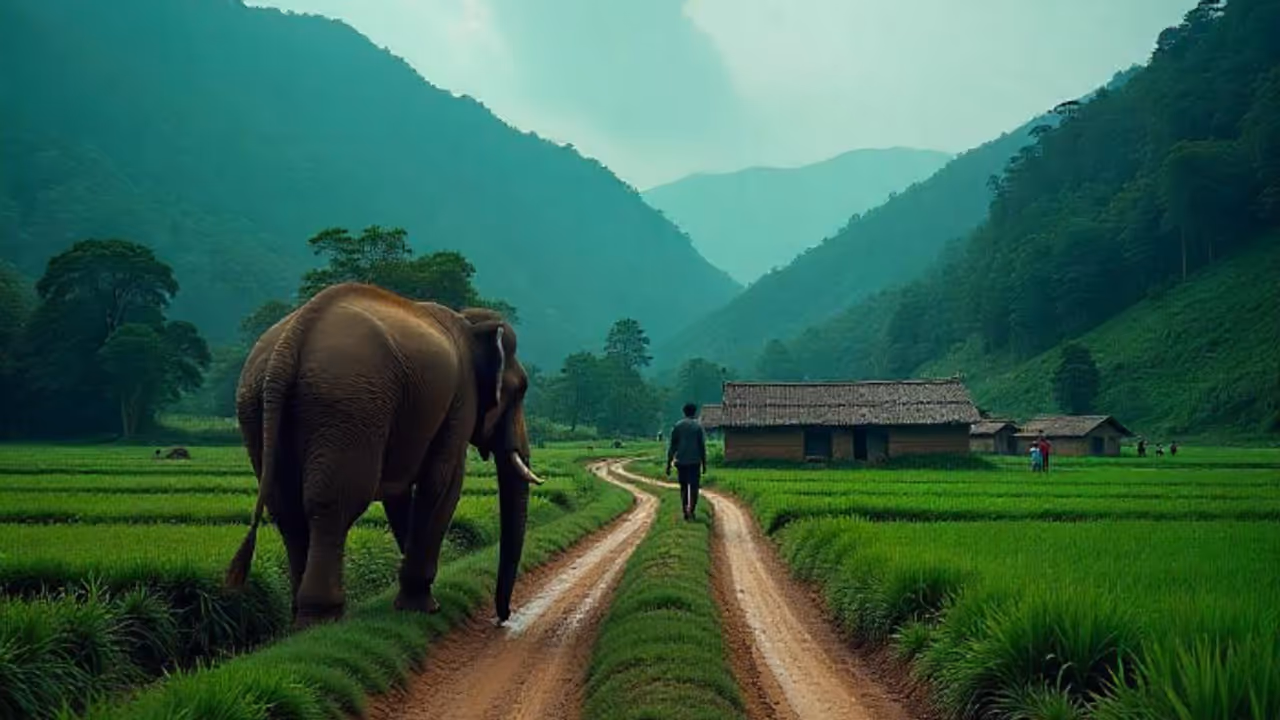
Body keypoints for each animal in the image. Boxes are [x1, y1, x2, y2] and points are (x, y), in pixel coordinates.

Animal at [223, 282, 542, 628]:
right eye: (521, 390)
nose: (503, 617)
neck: (470, 322)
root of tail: (292, 338)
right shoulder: (460, 400)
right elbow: (443, 483)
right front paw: (424, 607)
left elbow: (400, 495)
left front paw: (414, 599)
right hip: (347, 406)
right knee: (335, 503)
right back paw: (324, 617)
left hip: (257, 407)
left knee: (286, 508)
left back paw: (300, 620)